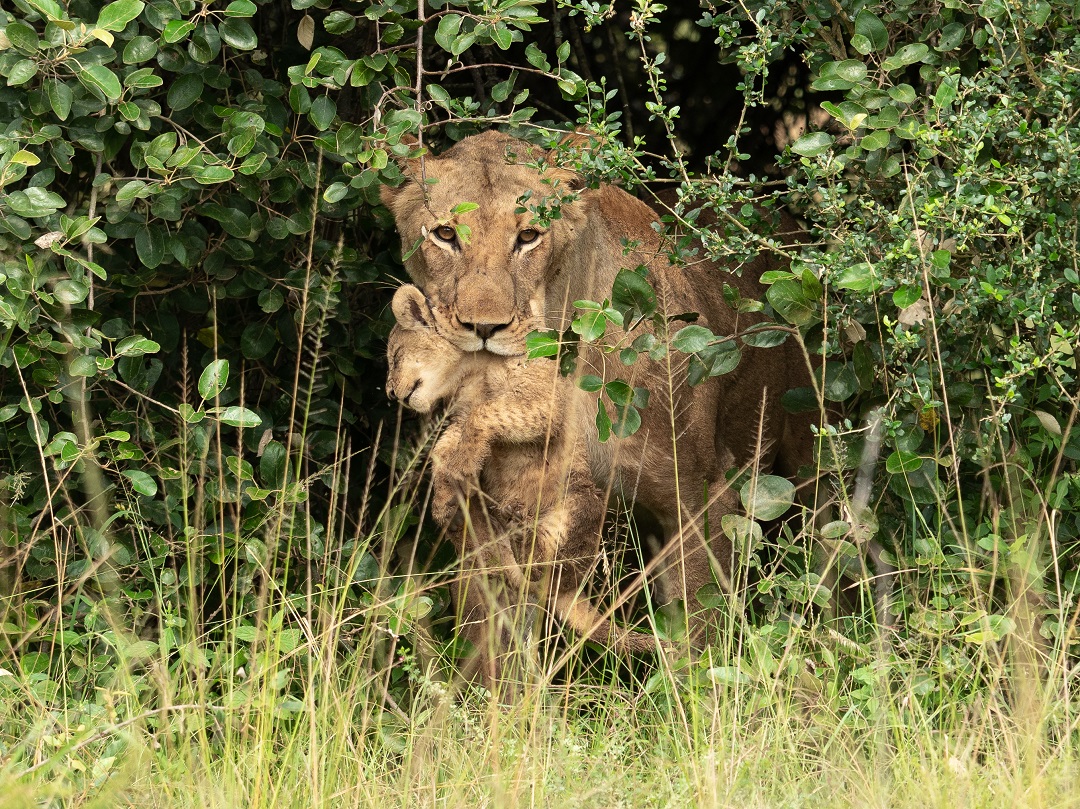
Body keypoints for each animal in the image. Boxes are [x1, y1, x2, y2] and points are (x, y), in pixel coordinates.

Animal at [386, 284, 662, 682]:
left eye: (394, 357)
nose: (390, 393)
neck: (470, 374)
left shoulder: (542, 403)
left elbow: (488, 415)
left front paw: (459, 469)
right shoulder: (461, 416)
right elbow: (447, 445)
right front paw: (443, 494)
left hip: (581, 502)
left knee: (548, 571)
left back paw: (517, 528)